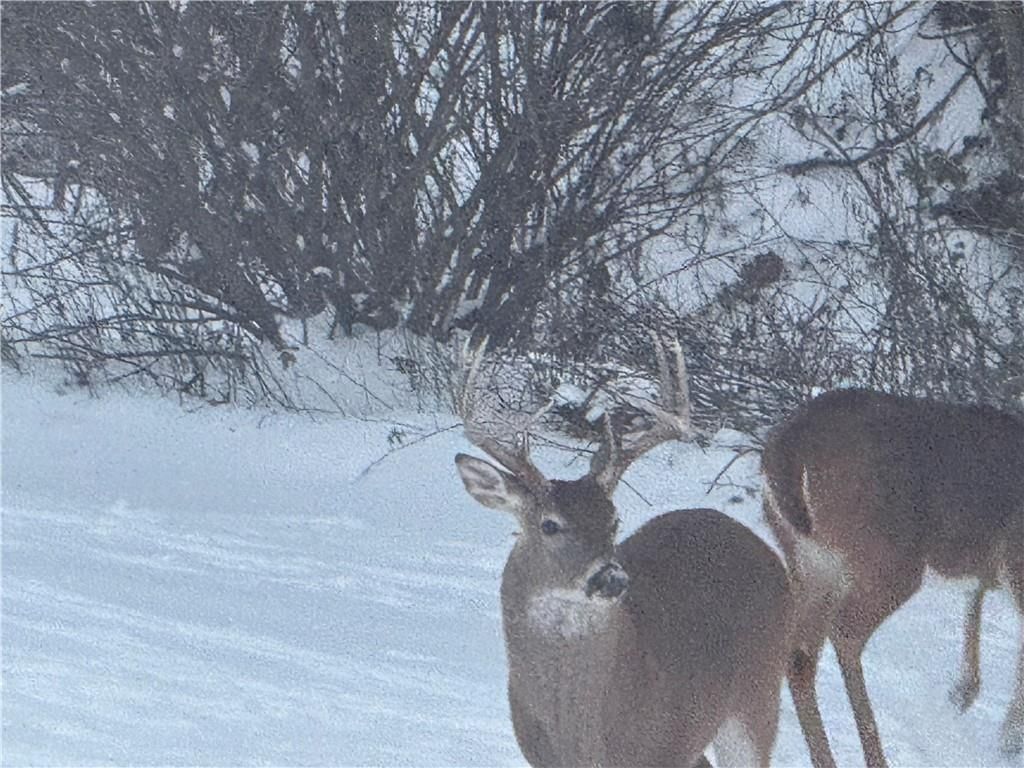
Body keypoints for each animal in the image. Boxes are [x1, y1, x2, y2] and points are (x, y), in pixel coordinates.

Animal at [761, 387, 1024, 768]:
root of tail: (786, 452)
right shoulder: (1014, 562)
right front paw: (1008, 737)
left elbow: (973, 597)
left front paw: (963, 692)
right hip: (889, 561)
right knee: (845, 634)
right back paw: (876, 756)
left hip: (811, 562)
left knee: (800, 654)